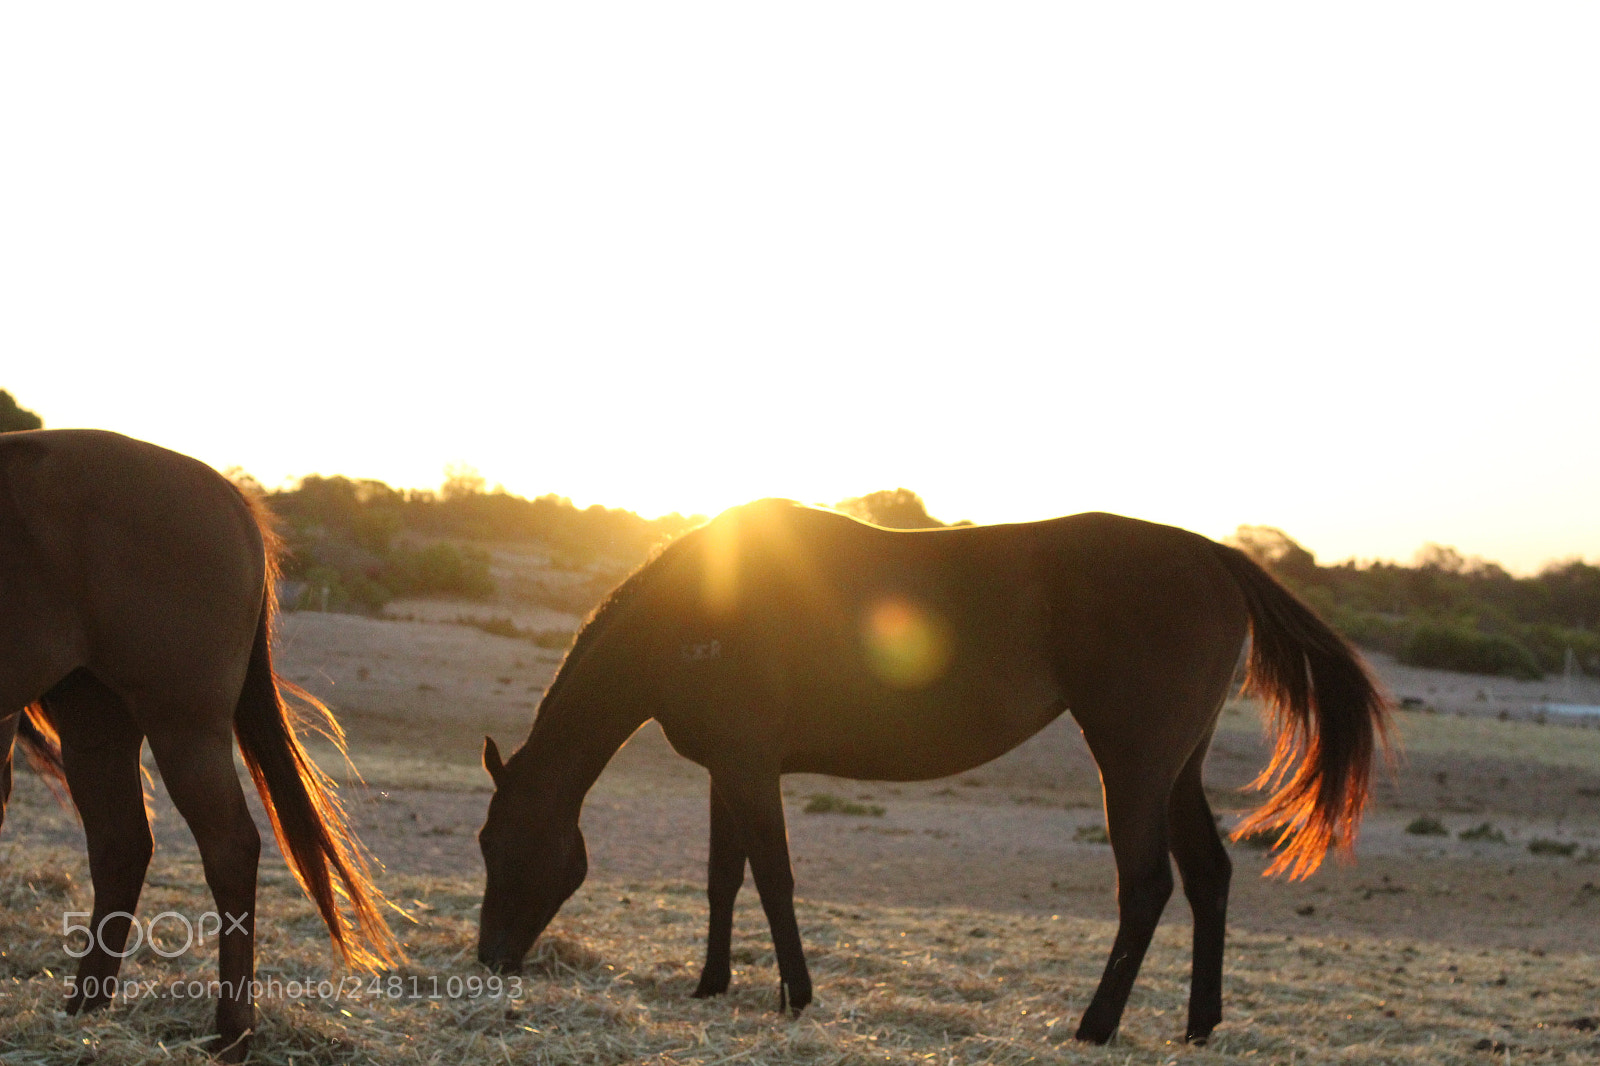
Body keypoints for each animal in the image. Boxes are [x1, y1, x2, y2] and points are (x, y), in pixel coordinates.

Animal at [0, 429, 402, 1061]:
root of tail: (230, 496)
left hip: (182, 723)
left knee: (229, 848)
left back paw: (232, 1031)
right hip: (96, 716)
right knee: (121, 844)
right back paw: (86, 1009)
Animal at [475, 497, 1391, 1044]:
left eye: (496, 846)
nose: (488, 960)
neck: (694, 614)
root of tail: (1209, 555)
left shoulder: (750, 768)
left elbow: (772, 877)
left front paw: (797, 994)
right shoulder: (726, 772)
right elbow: (723, 880)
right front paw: (711, 985)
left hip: (1131, 765)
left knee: (1147, 887)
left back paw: (1094, 1027)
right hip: (1177, 771)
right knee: (1207, 878)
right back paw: (1198, 1028)